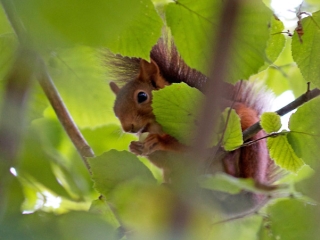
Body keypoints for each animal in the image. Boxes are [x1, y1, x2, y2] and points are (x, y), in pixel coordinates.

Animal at [108, 39, 276, 197]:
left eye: (142, 96)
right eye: (115, 111)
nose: (127, 128)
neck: (157, 126)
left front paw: (159, 141)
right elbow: (164, 162)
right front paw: (135, 147)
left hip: (253, 150)